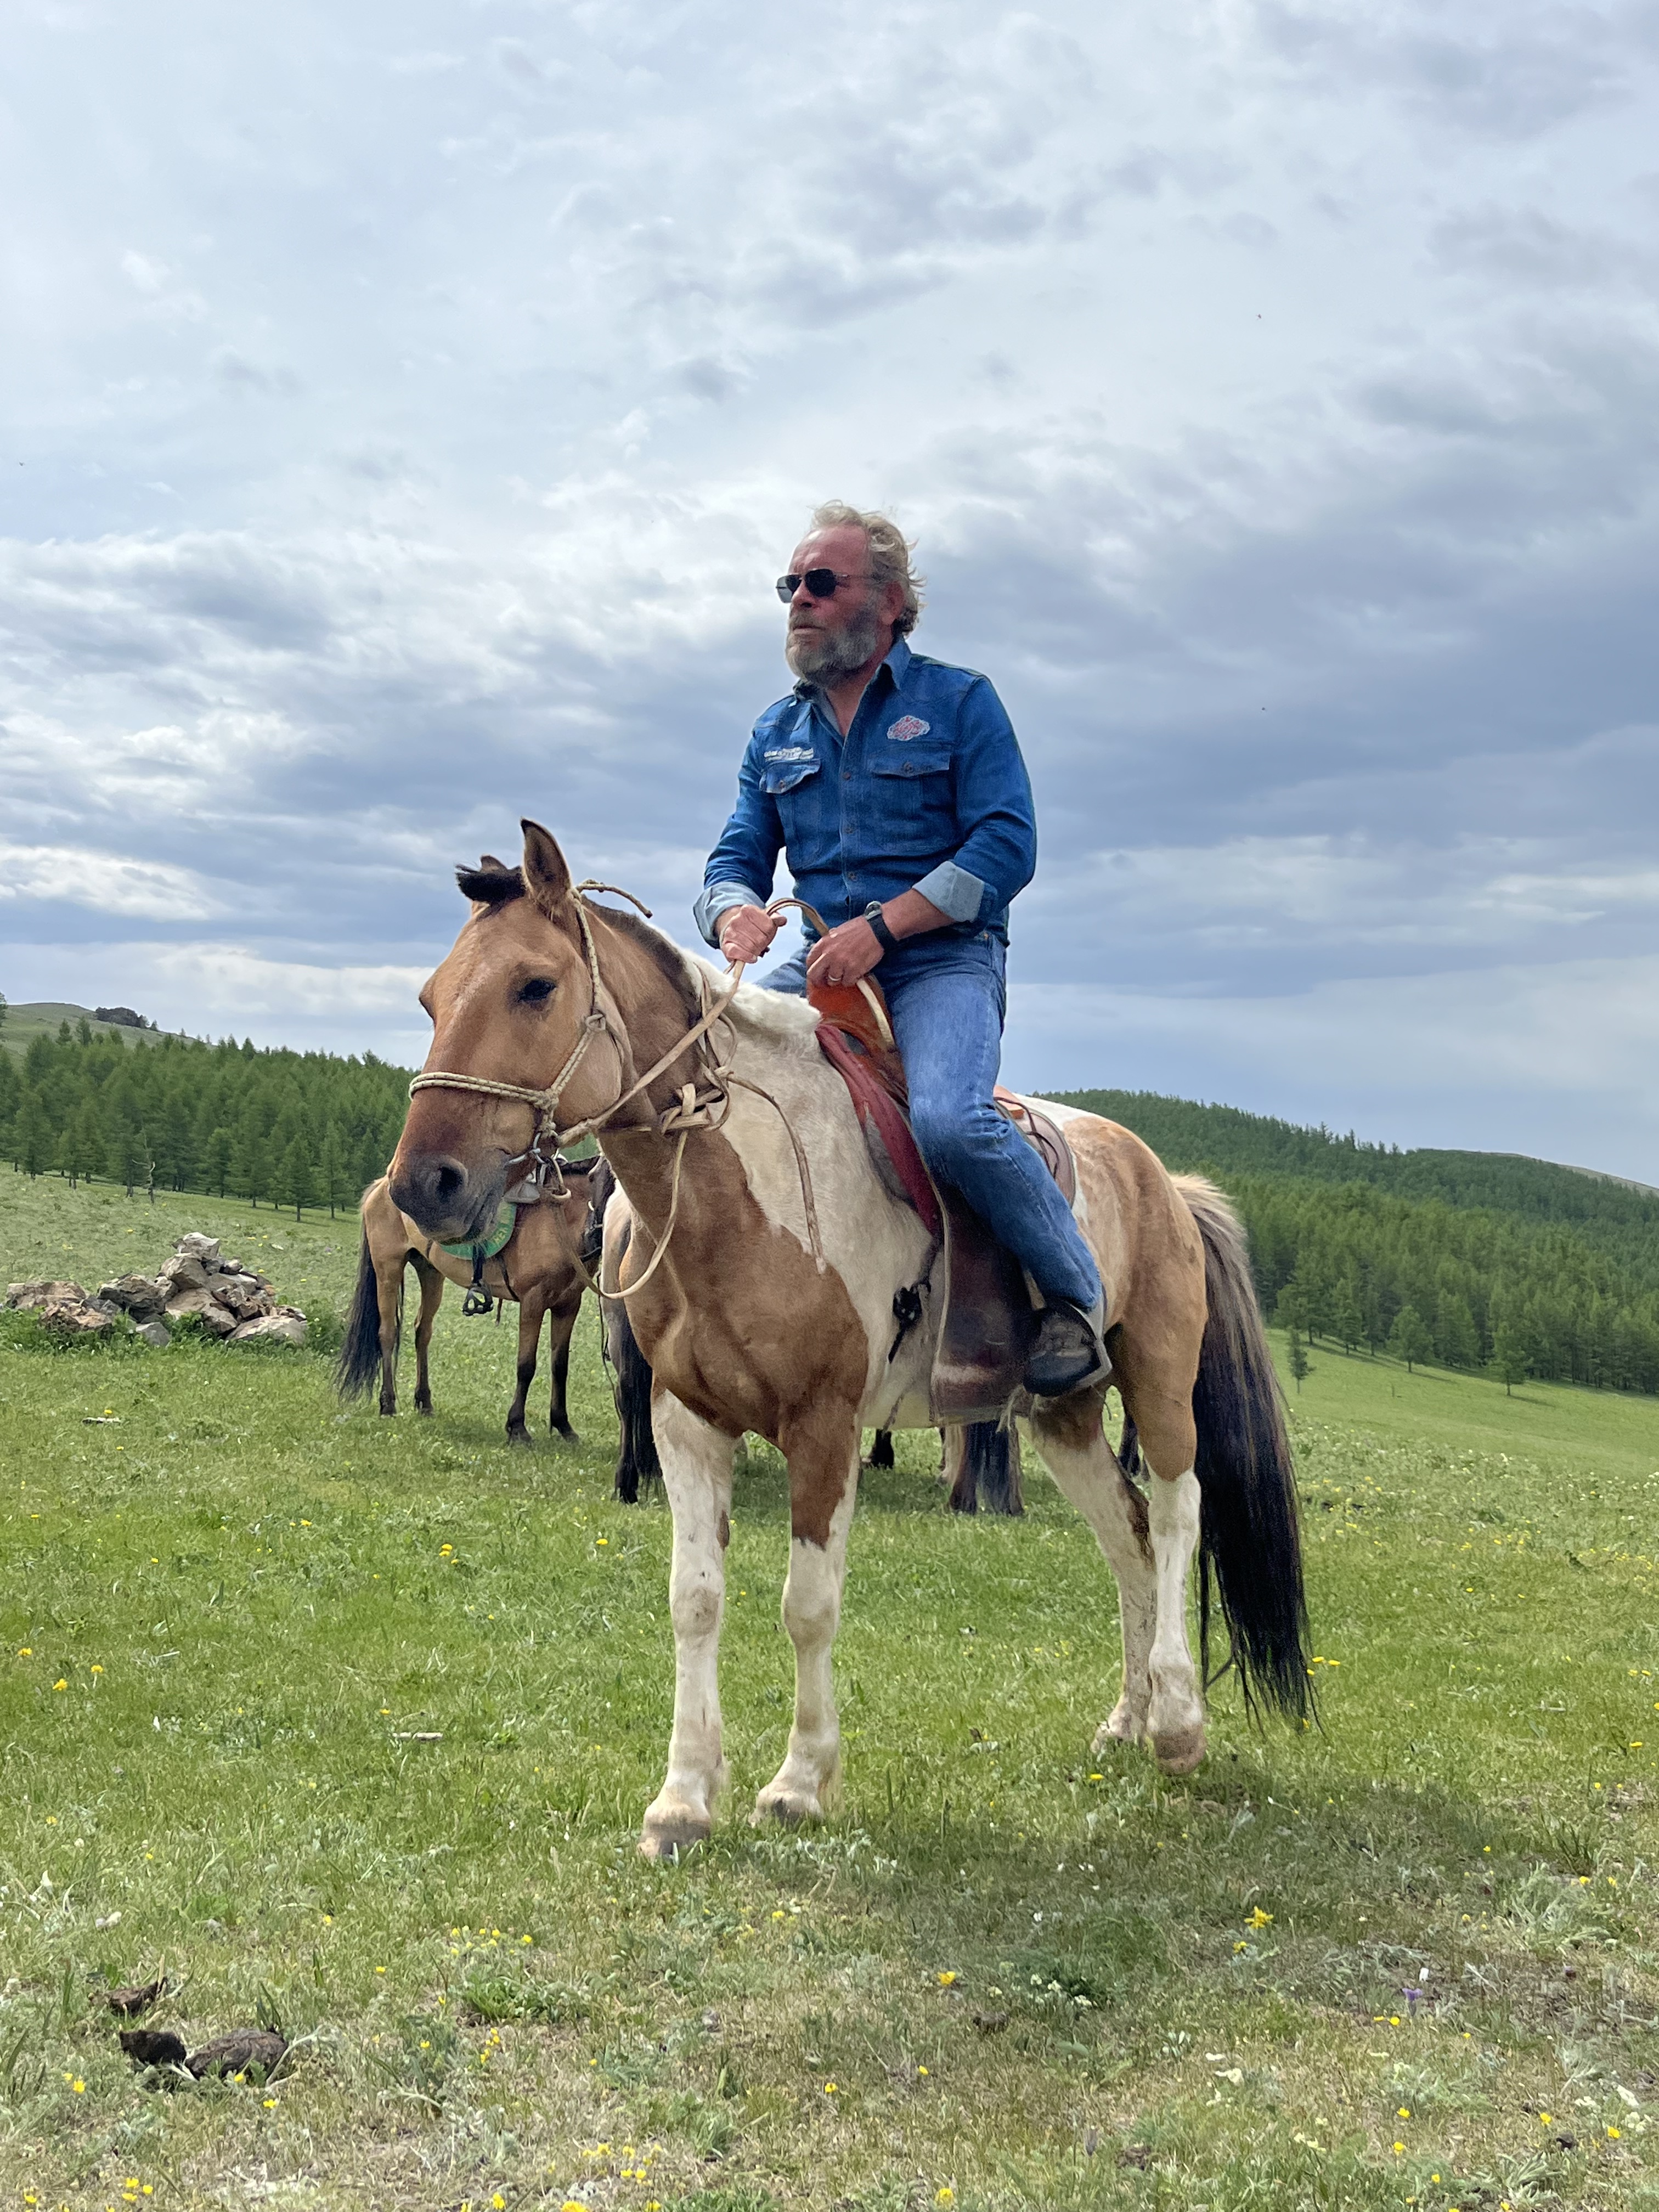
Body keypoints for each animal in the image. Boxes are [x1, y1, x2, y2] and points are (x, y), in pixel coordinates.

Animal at [337, 1159, 600, 1450]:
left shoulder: (568, 1306)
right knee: (387, 1334)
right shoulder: (533, 1302)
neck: (561, 1219)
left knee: (422, 1332)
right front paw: (517, 1428)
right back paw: (388, 1404)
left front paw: (563, 1426)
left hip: (430, 1271)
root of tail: (381, 1185)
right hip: (388, 1269)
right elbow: (526, 1366)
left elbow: (560, 1366)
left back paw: (424, 1401)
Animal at [391, 823, 1310, 1858]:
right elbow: (693, 1600)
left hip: (1157, 1381)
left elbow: (808, 1605)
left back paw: (1178, 1723)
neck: (734, 1190)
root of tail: (1168, 1183)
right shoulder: (685, 1419)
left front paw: (797, 1782)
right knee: (1130, 1538)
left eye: (535, 986)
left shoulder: (824, 1428)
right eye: (431, 996)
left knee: (1179, 1513)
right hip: (1064, 1414)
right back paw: (1126, 1719)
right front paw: (683, 1798)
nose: (424, 1184)